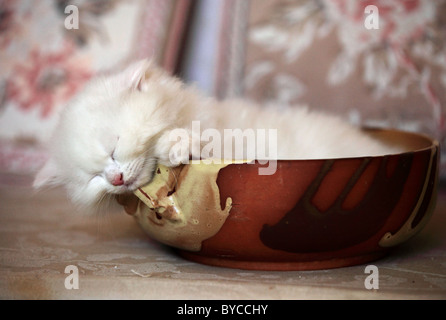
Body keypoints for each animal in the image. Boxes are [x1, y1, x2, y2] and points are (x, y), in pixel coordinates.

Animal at [34, 59, 398, 211]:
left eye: (114, 147)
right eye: (94, 178)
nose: (117, 179)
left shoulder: (225, 138)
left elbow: (193, 140)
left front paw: (175, 144)